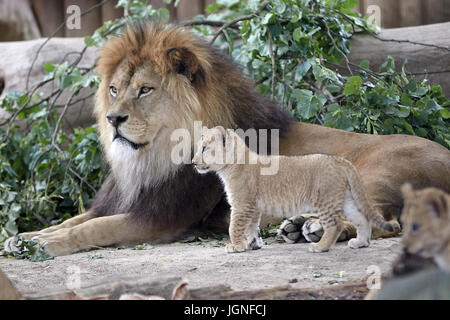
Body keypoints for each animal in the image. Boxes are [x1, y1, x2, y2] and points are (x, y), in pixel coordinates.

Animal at [4, 22, 450, 256]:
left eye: (145, 90)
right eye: (114, 90)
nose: (114, 119)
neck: (147, 159)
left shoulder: (157, 219)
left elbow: (90, 230)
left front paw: (41, 245)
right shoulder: (118, 202)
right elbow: (73, 220)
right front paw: (23, 237)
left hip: (373, 171)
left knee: (382, 222)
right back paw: (297, 227)